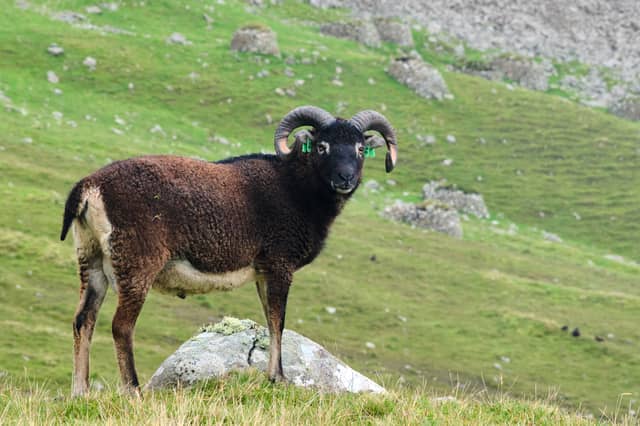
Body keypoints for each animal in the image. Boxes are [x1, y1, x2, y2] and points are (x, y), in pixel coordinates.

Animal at [60, 106, 398, 396]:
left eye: (360, 149)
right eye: (322, 147)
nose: (345, 178)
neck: (296, 188)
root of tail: (89, 188)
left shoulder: (263, 272)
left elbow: (270, 321)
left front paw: (273, 376)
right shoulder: (280, 265)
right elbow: (279, 321)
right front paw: (279, 378)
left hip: (91, 259)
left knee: (83, 320)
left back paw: (80, 392)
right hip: (135, 264)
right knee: (121, 327)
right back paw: (134, 392)